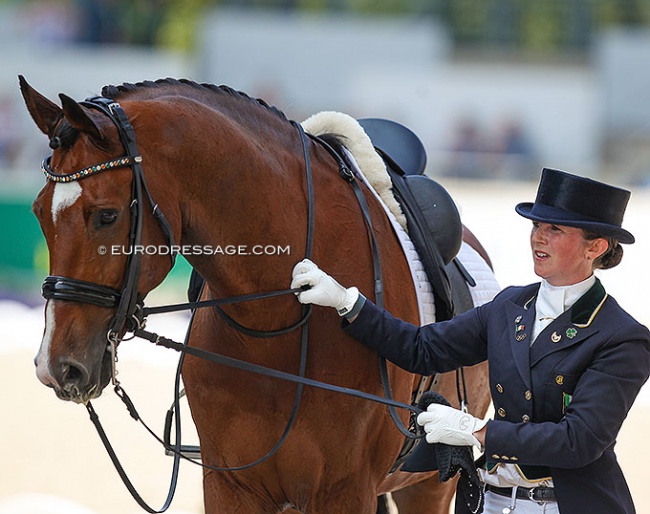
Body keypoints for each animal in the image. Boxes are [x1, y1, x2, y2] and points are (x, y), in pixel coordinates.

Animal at [22, 76, 494, 512]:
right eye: (38, 213)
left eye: (107, 215)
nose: (56, 368)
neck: (273, 325)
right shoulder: (230, 484)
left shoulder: (346, 490)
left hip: (429, 484)